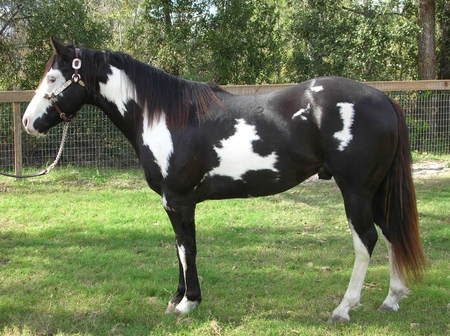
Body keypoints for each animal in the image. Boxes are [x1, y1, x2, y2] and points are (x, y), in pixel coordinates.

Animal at [22, 38, 428, 322]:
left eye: (54, 77)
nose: (28, 122)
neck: (164, 116)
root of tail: (384, 100)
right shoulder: (174, 202)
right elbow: (179, 248)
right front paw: (176, 299)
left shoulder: (179, 200)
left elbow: (187, 248)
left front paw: (188, 304)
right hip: (376, 191)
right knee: (392, 233)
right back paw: (391, 300)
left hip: (356, 190)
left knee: (367, 240)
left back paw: (344, 308)